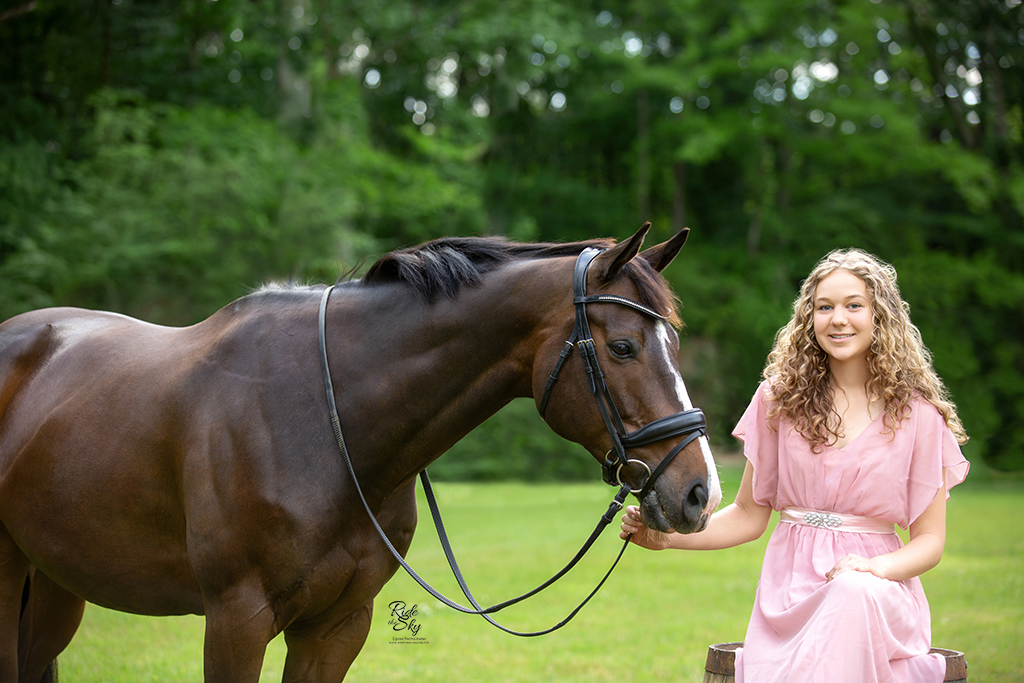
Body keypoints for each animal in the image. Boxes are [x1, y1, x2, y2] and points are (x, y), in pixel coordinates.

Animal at [0, 223, 720, 679]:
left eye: (674, 344)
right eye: (623, 346)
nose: (698, 491)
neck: (326, 420)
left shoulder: (338, 626)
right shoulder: (235, 621)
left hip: (58, 583)